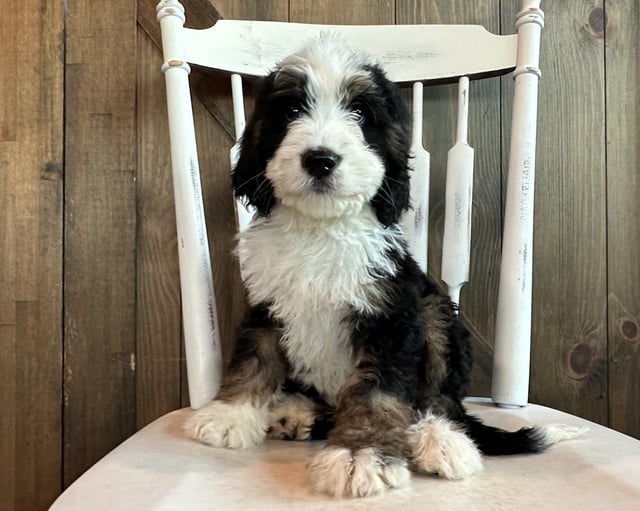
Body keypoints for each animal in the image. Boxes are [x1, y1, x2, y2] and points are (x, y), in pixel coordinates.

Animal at [186, 37, 584, 500]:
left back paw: (441, 439)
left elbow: (376, 392)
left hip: (435, 313)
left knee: (441, 399)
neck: (321, 228)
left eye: (359, 113)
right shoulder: (268, 303)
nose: (320, 159)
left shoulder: (390, 313)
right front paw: (229, 415)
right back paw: (296, 412)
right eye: (291, 110)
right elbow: (255, 356)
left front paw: (360, 454)